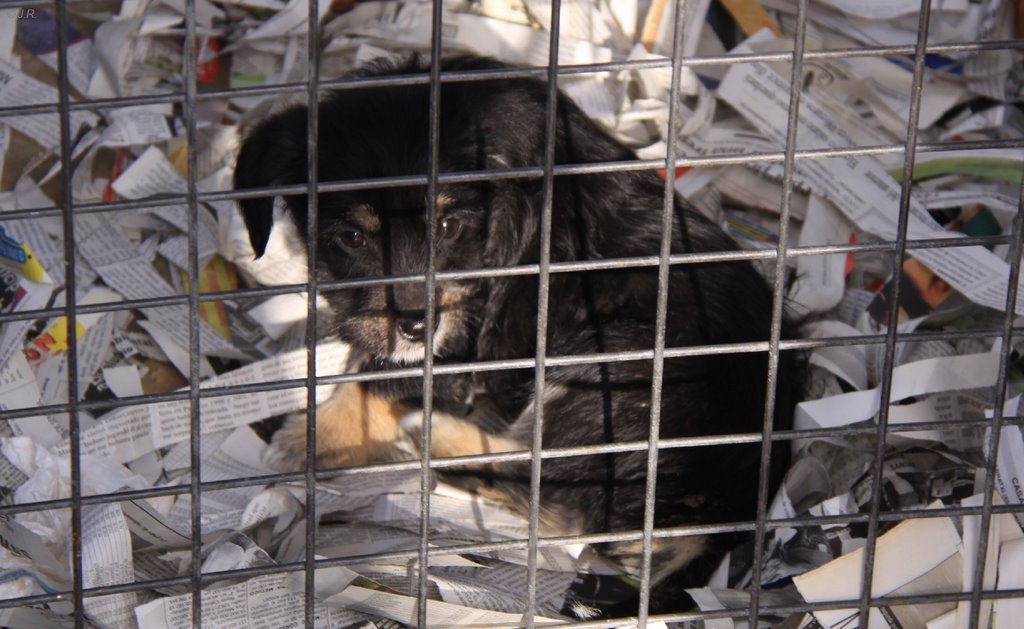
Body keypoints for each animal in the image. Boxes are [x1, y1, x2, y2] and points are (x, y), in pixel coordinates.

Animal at [235, 54, 802, 614]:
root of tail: (725, 511)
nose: (417, 324)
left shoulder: (466, 330)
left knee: (546, 488)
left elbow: (380, 379)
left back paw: (430, 434)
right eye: (352, 238)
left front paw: (312, 437)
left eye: (449, 228)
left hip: (614, 363)